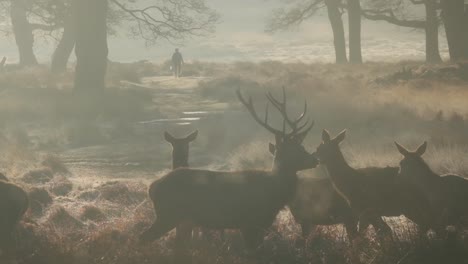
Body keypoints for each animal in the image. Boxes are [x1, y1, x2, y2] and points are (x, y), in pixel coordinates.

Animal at [141, 88, 318, 252]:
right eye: (297, 150)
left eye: (301, 147)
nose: (315, 159)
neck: (274, 193)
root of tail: (152, 187)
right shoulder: (250, 222)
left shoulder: (260, 224)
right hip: (168, 214)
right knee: (143, 237)